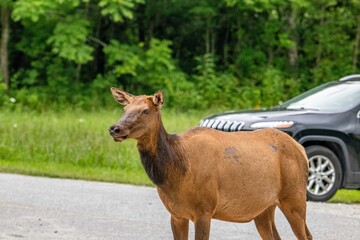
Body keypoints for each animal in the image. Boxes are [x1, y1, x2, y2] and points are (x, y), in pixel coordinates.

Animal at [107, 88, 312, 240]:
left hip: (295, 197)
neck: (177, 171)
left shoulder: (205, 209)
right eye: (124, 110)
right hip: (264, 208)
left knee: (307, 235)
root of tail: (301, 149)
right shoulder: (176, 214)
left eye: (145, 110)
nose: (115, 128)